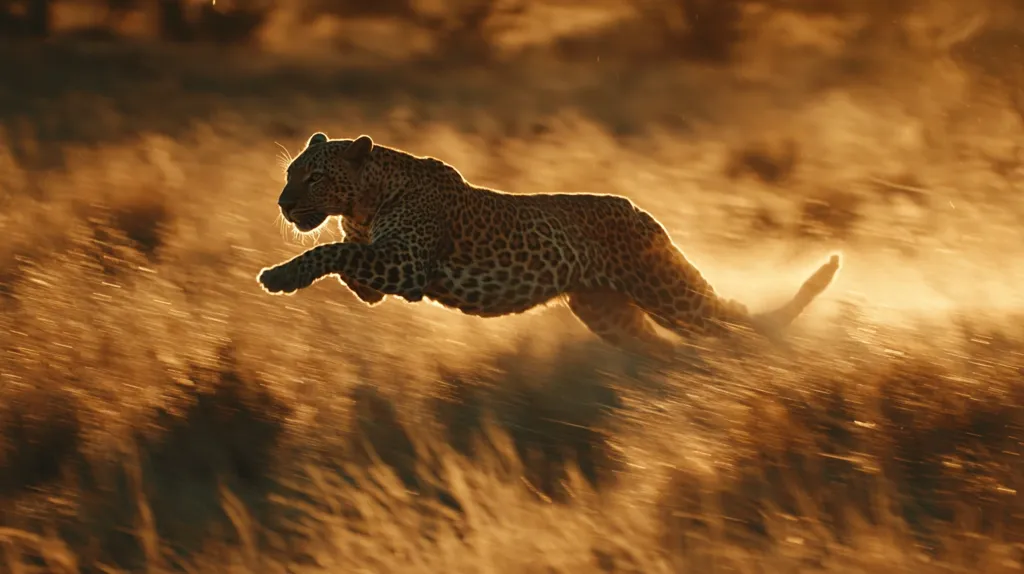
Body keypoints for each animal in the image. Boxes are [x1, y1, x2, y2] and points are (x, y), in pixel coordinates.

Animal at [257, 131, 842, 362]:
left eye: (313, 176)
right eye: (289, 173)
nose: (283, 203)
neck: (363, 200)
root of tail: (643, 213)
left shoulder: (404, 266)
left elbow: (330, 252)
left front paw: (281, 276)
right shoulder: (381, 274)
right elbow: (344, 255)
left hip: (667, 293)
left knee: (731, 317)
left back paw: (763, 361)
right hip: (608, 312)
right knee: (667, 344)